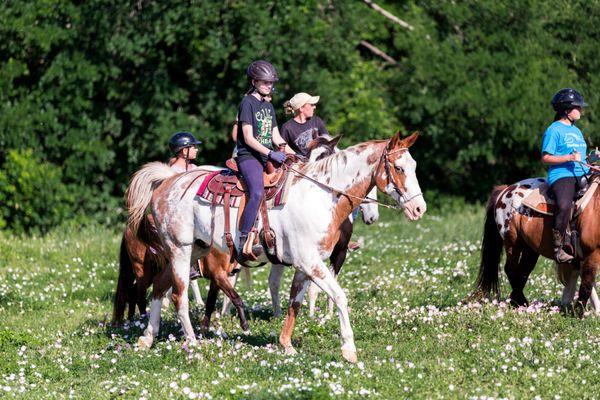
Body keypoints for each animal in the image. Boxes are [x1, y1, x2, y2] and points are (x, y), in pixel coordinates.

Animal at [127, 132, 426, 362]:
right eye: (398, 168)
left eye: (413, 166)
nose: (419, 209)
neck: (319, 196)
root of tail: (167, 182)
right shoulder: (310, 262)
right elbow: (340, 297)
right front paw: (349, 349)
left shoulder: (307, 265)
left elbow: (296, 302)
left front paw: (286, 344)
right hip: (180, 249)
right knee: (178, 295)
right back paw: (192, 343)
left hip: (196, 249)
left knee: (159, 286)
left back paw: (147, 338)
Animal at [474, 177, 600, 314]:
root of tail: (505, 190)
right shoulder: (592, 252)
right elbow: (587, 282)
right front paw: (578, 312)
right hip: (512, 243)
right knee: (510, 269)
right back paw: (521, 302)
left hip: (530, 249)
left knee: (523, 271)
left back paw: (518, 302)